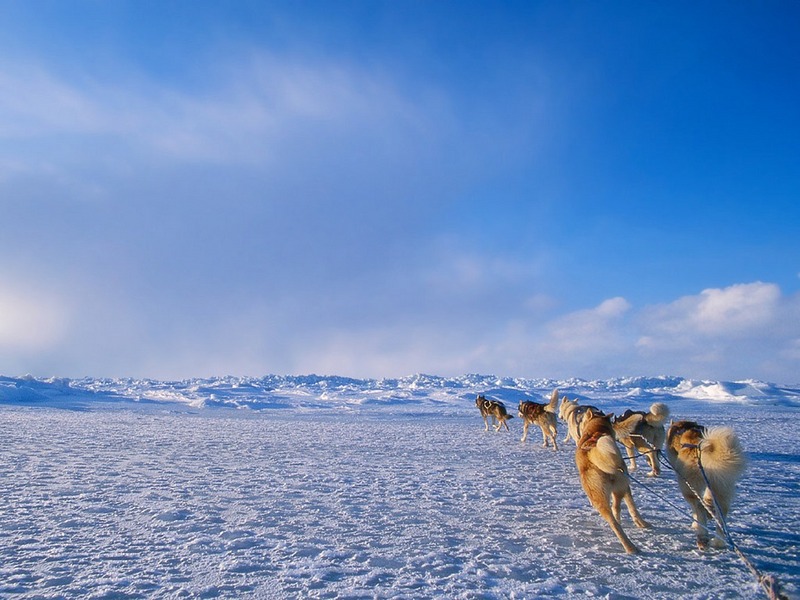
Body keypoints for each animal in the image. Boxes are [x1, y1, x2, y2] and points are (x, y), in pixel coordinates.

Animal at [576, 408, 648, 552]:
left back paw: (628, 547)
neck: (595, 432)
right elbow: (631, 506)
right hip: (622, 486)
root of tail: (593, 453)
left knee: (614, 522)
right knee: (619, 507)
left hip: (601, 499)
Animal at [664, 420, 748, 552]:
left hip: (688, 487)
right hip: (721, 489)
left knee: (699, 508)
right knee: (720, 516)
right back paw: (718, 541)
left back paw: (702, 536)